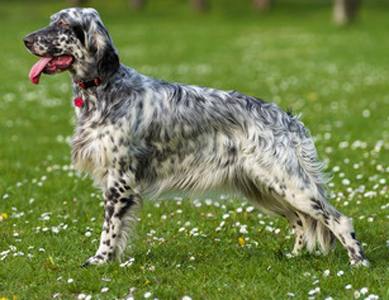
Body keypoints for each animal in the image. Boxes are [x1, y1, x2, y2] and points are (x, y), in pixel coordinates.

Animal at [22, 7, 368, 266]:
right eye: (51, 20)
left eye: (63, 24)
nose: (25, 39)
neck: (106, 88)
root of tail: (288, 118)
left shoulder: (120, 180)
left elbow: (110, 229)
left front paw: (100, 259)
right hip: (266, 187)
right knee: (300, 221)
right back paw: (296, 257)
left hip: (290, 184)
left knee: (338, 219)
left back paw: (358, 262)